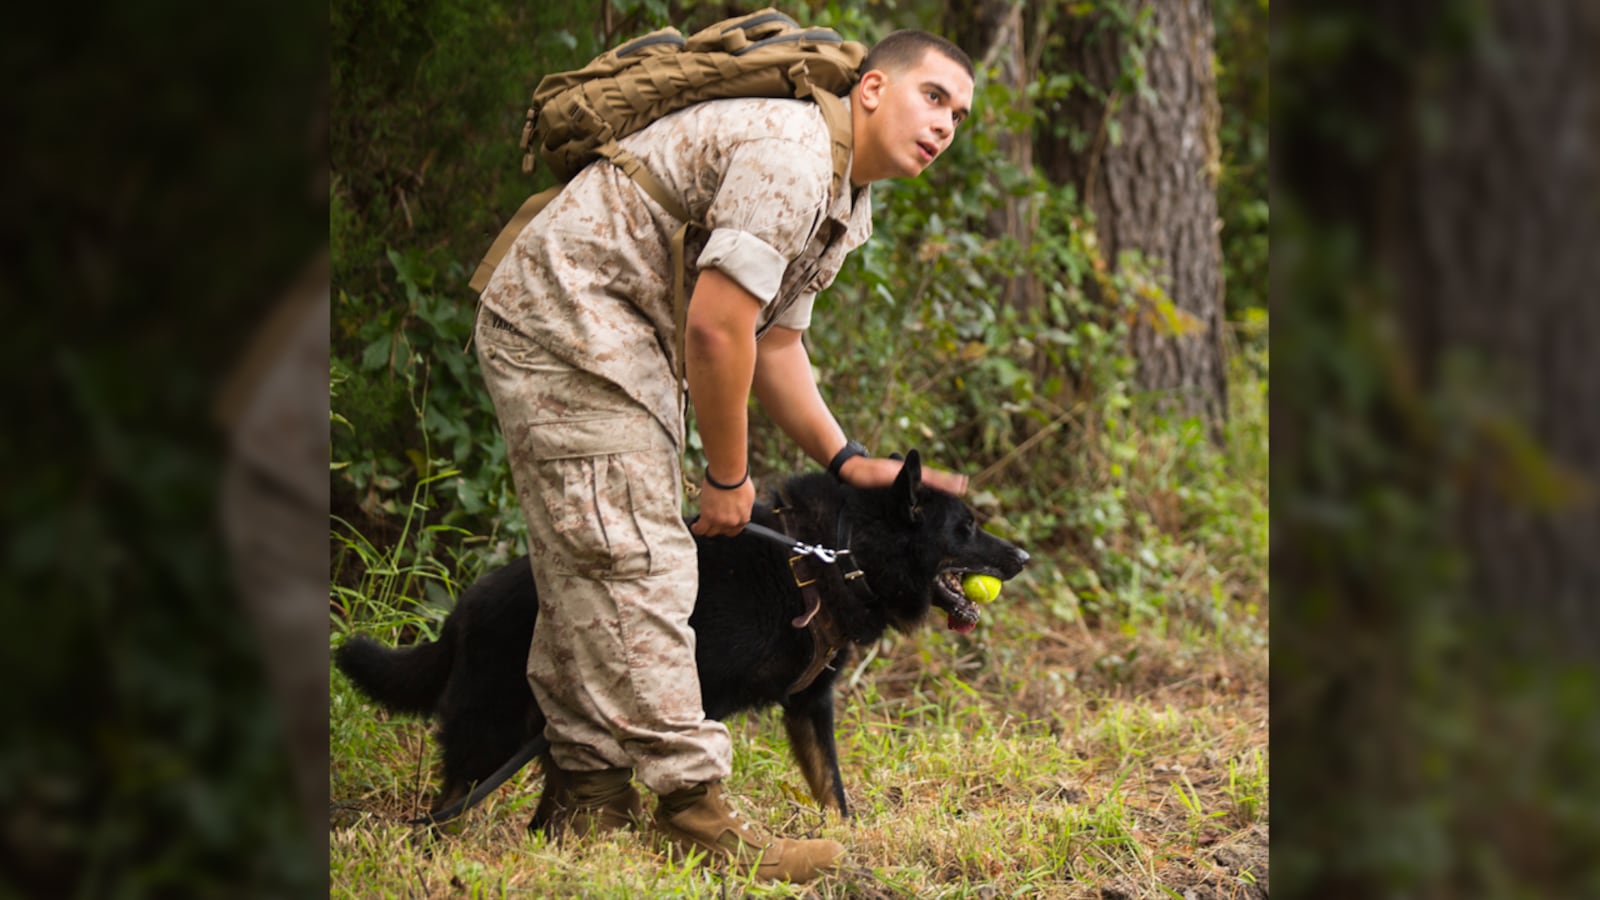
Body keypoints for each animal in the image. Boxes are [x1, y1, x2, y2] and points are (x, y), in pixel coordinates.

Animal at [342, 448, 1030, 826]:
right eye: (967, 527)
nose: (1024, 557)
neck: (841, 552)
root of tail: (462, 610)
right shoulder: (698, 698)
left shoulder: (810, 706)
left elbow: (831, 787)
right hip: (491, 728)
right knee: (454, 801)